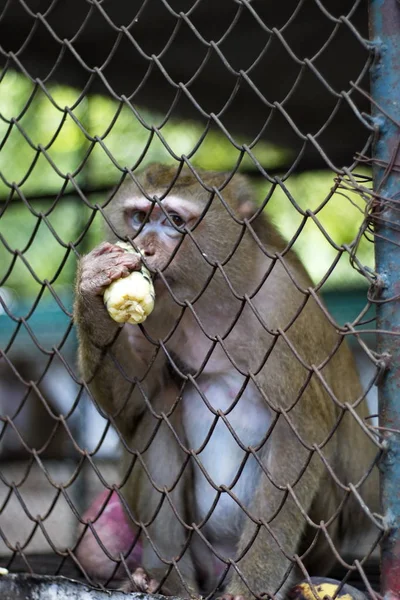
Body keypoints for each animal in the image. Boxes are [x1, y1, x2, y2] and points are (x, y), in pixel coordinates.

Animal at [74, 164, 378, 600]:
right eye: (139, 217)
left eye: (175, 220)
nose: (145, 249)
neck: (211, 294)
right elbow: (135, 408)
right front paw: (93, 285)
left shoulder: (283, 302)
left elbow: (299, 432)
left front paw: (254, 586)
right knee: (163, 405)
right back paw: (170, 577)